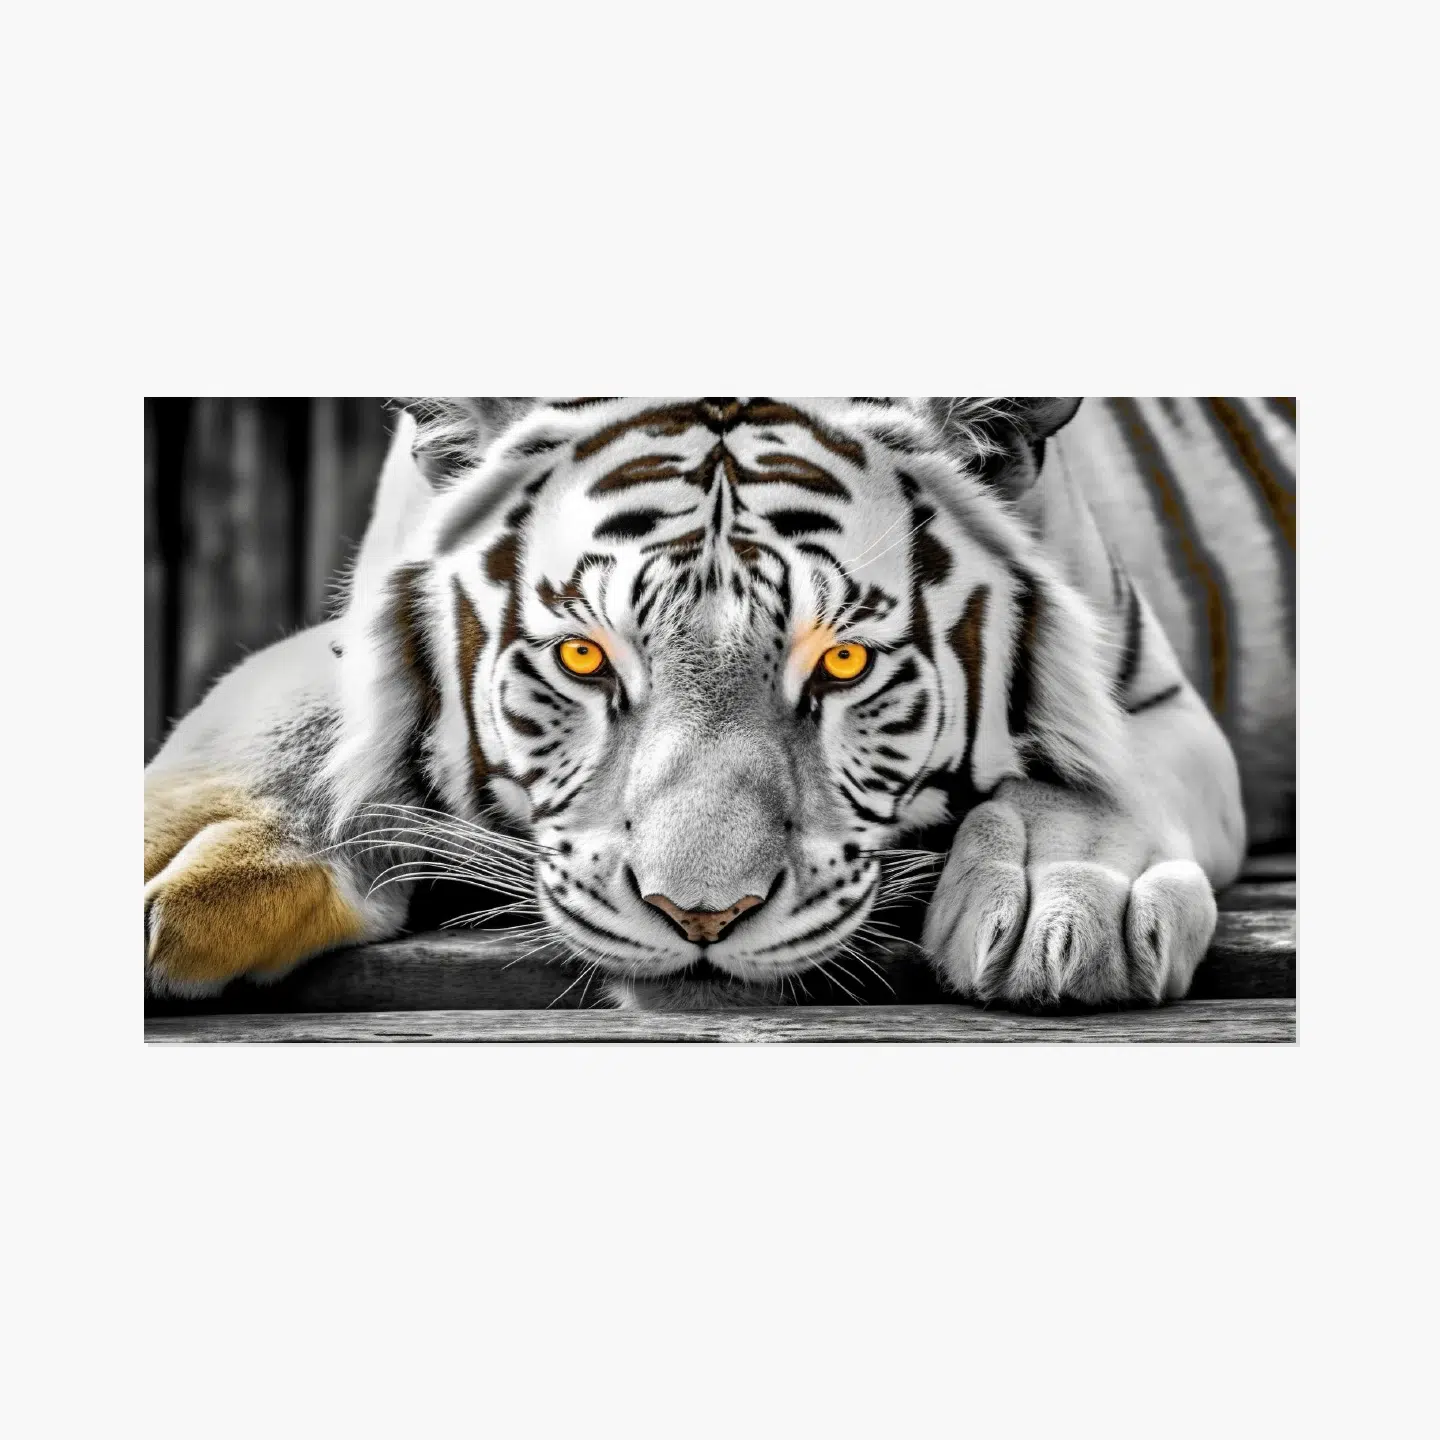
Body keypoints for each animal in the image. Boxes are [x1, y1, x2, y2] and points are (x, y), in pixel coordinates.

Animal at [143, 397, 1295, 1011]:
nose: (699, 915)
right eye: (582, 655)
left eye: (845, 663)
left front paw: (1070, 902)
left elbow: (1098, 774)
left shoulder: (1156, 697)